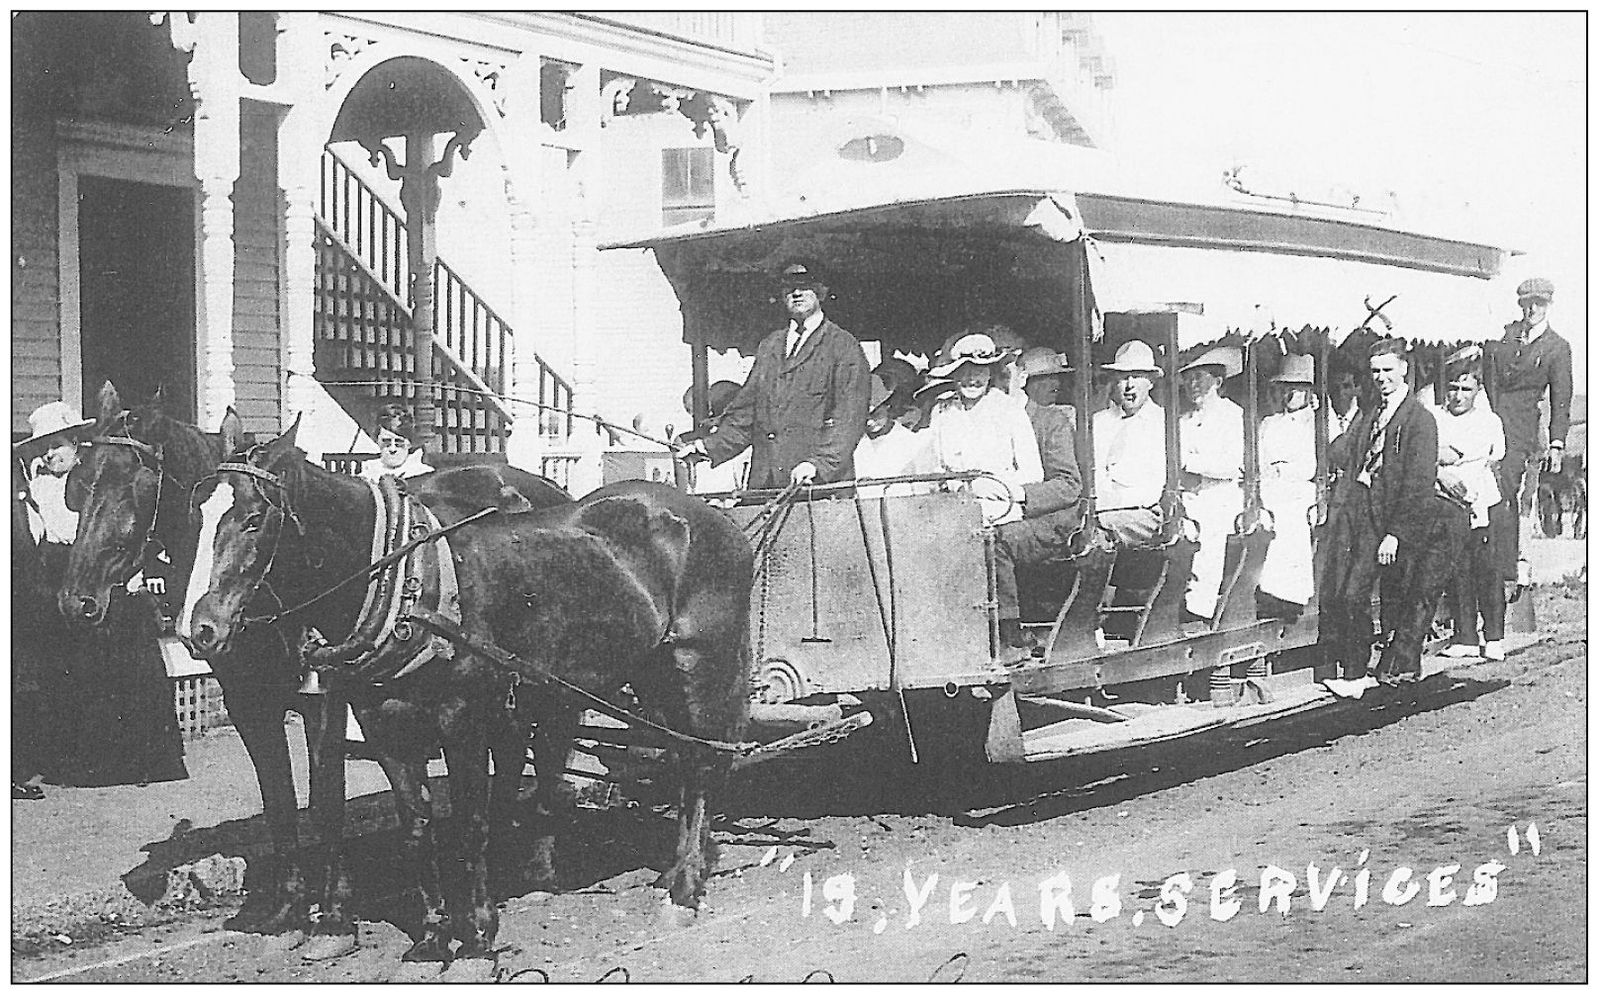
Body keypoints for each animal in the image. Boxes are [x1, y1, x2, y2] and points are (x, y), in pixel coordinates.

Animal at [59, 384, 573, 960]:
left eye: (133, 483)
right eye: (79, 485)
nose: (76, 600)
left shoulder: (322, 699)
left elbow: (326, 803)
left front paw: (333, 918)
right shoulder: (250, 701)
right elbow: (282, 804)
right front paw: (285, 907)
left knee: (548, 746)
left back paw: (538, 865)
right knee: (510, 751)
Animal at [178, 419, 752, 980]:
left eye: (253, 519)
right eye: (194, 513)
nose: (199, 629)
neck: (406, 583)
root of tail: (713, 520)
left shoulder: (464, 720)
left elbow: (470, 824)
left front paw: (476, 938)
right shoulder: (382, 726)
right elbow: (417, 826)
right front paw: (431, 938)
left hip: (697, 666)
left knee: (701, 765)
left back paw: (684, 891)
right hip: (646, 675)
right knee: (676, 757)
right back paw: (671, 872)